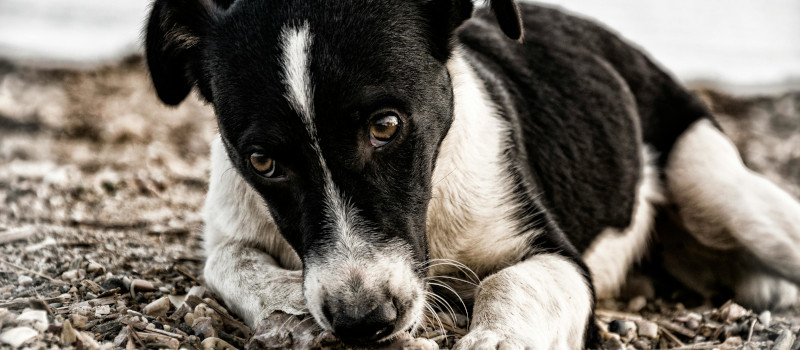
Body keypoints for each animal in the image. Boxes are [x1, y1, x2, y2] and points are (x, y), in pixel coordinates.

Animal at [144, 0, 800, 348]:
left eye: (386, 125)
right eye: (262, 161)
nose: (364, 322)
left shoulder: (556, 257)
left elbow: (510, 283)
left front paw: (495, 339)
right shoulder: (230, 231)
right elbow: (238, 267)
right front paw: (293, 314)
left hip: (720, 189)